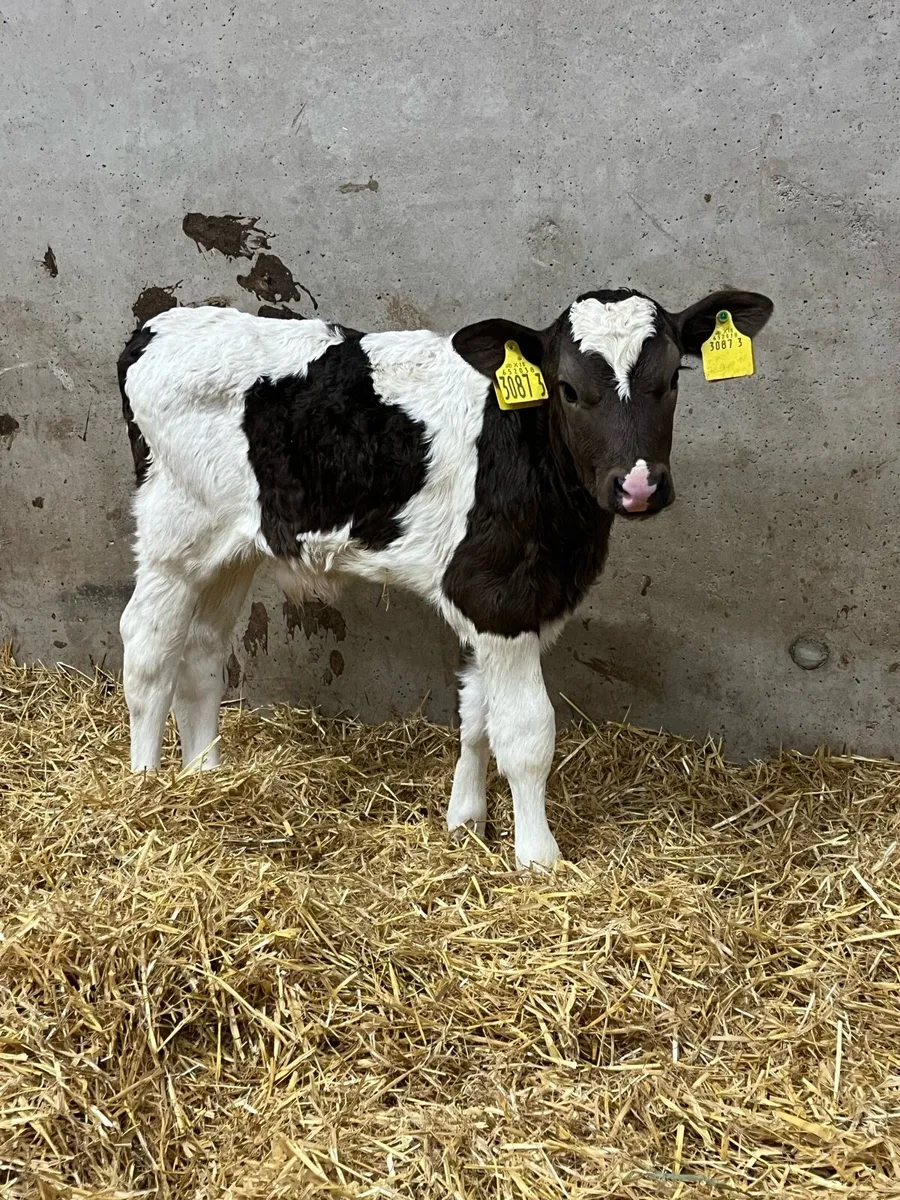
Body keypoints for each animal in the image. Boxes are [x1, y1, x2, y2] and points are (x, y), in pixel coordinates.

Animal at [117, 287, 773, 868]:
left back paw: (205, 776)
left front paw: (466, 821)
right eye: (567, 389)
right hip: (172, 536)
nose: (638, 485)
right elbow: (525, 733)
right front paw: (538, 858)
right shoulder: (499, 598)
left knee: (203, 654)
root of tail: (160, 325)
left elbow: (477, 715)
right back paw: (145, 786)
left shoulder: (504, 602)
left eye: (673, 380)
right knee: (148, 649)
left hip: (232, 549)